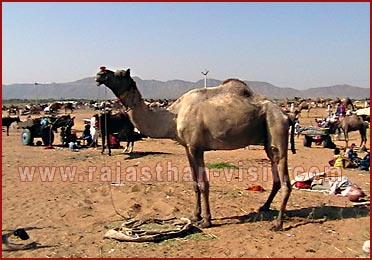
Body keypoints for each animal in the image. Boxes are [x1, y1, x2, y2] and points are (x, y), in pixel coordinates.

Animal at [96, 66, 296, 230]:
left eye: (120, 74)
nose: (100, 74)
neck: (173, 117)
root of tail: (286, 115)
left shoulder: (196, 147)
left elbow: (203, 183)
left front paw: (206, 220)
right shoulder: (187, 147)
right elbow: (194, 183)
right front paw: (195, 215)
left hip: (277, 127)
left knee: (286, 179)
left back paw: (278, 224)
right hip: (268, 140)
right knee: (276, 174)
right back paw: (264, 207)